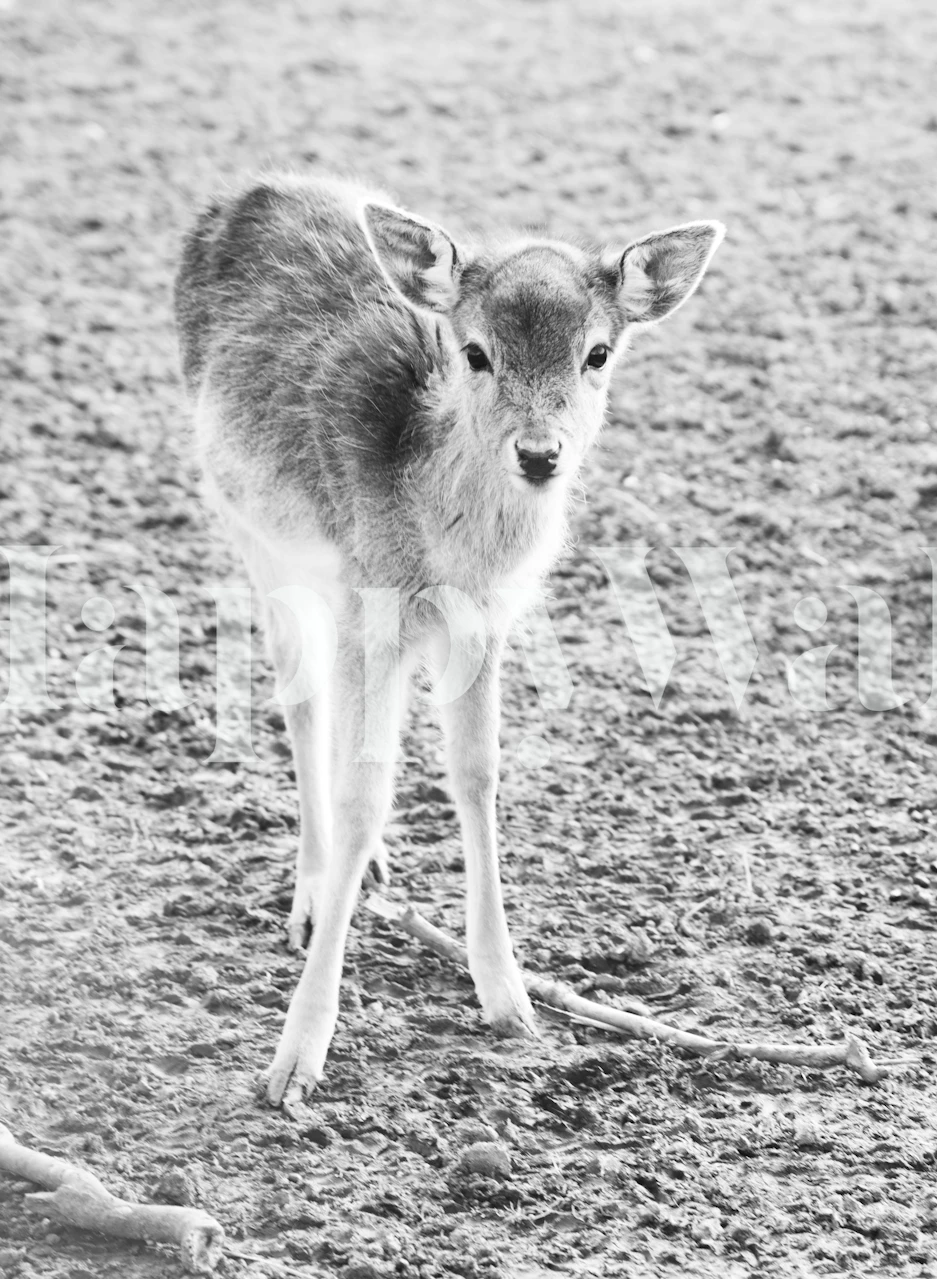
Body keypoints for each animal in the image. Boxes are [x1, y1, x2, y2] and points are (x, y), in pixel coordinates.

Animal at [173, 173, 724, 1107]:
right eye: (474, 352)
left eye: (596, 354)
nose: (538, 455)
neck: (441, 550)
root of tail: (247, 189)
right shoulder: (370, 604)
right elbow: (364, 795)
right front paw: (293, 1062)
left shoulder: (483, 624)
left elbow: (476, 775)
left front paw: (508, 997)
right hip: (252, 531)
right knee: (300, 695)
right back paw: (315, 889)